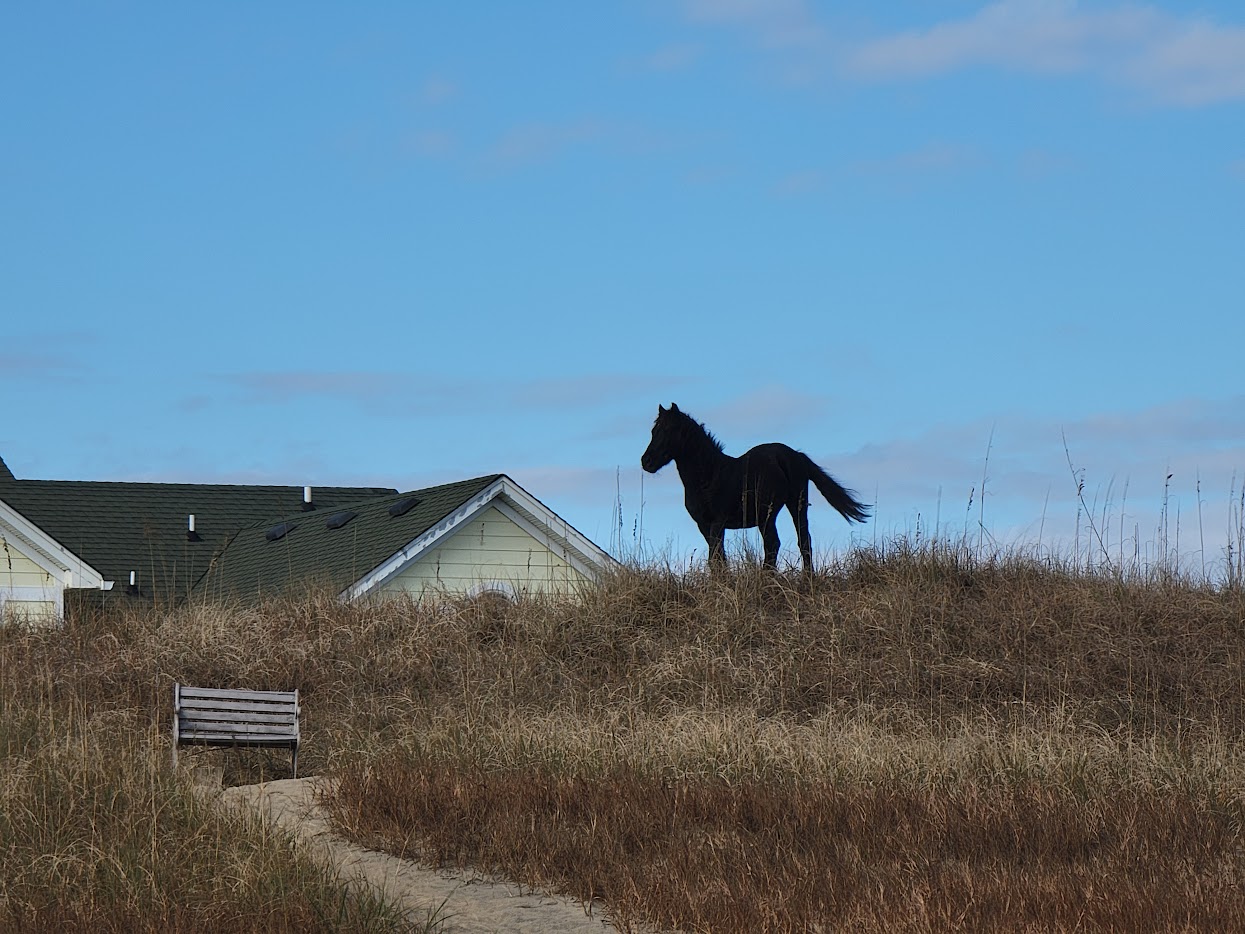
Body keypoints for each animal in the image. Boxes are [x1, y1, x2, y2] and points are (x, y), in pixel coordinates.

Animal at [640, 403, 869, 571]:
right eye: (653, 431)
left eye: (669, 431)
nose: (646, 462)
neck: (710, 475)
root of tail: (796, 455)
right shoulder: (703, 525)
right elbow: (718, 558)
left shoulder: (718, 522)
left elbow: (715, 558)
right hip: (769, 515)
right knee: (782, 544)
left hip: (789, 507)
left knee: (792, 542)